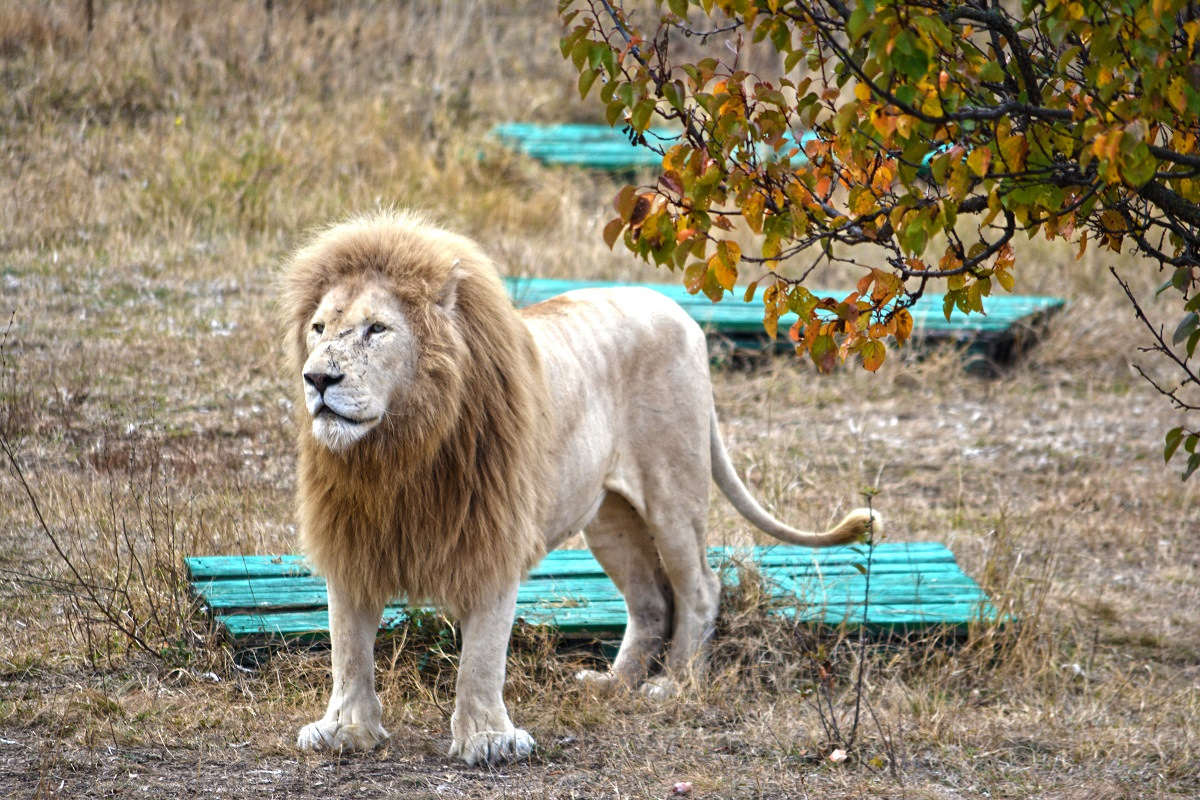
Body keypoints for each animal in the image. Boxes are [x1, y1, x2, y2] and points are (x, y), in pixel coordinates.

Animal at [280, 209, 883, 767]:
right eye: (319, 329)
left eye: (377, 329)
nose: (318, 379)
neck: (395, 449)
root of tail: (681, 314)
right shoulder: (353, 539)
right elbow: (348, 647)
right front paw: (344, 731)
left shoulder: (493, 539)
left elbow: (481, 655)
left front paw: (488, 740)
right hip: (610, 519)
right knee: (650, 600)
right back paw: (615, 684)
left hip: (673, 491)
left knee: (699, 588)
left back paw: (674, 684)